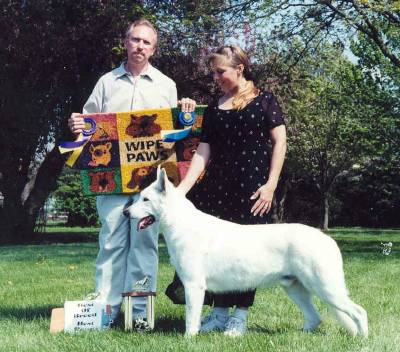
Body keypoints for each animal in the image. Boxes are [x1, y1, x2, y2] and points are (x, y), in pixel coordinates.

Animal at [122, 168, 368, 338]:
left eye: (145, 200)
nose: (125, 212)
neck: (180, 223)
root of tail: (328, 239)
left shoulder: (194, 286)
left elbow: (191, 318)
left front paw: (188, 339)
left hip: (325, 288)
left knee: (359, 312)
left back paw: (362, 340)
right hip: (296, 289)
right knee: (315, 317)